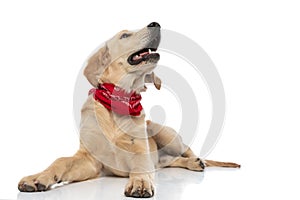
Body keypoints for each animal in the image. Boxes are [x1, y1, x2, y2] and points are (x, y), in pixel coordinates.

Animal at [18, 22, 239, 198]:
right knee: (169, 161)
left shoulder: (140, 151)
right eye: (124, 36)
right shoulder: (90, 160)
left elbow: (141, 166)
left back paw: (197, 161)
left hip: (165, 134)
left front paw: (140, 182)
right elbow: (61, 160)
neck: (119, 100)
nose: (155, 23)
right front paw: (38, 177)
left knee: (188, 152)